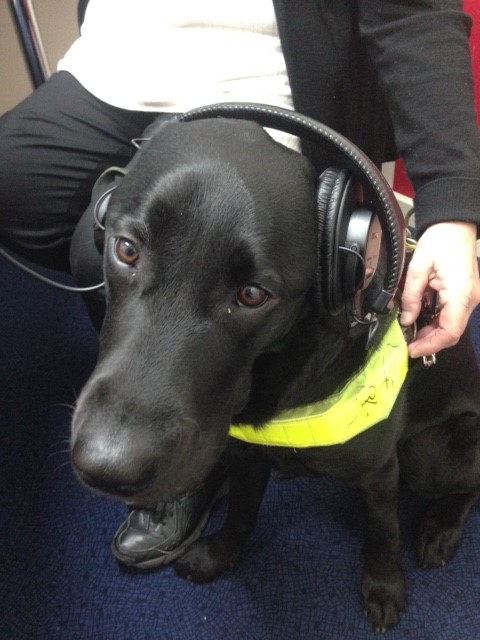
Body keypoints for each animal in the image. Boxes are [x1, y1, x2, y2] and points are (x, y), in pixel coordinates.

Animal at [70, 107, 480, 632]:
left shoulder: (380, 471)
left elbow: (382, 530)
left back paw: (440, 528)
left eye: (252, 295)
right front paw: (221, 555)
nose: (106, 468)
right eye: (125, 250)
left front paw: (385, 585)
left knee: (469, 484)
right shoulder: (245, 453)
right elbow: (242, 512)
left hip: (430, 455)